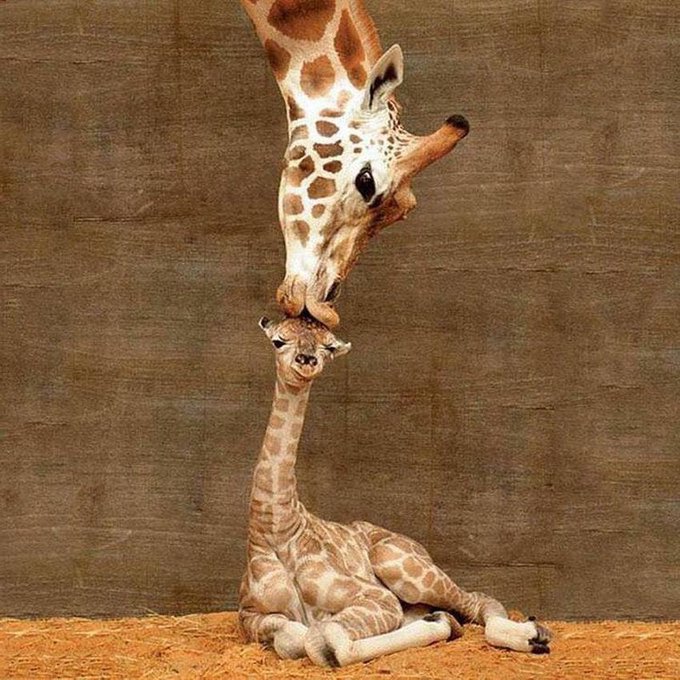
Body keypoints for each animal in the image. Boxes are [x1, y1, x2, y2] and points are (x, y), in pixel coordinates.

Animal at [239, 315, 552, 667]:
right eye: (279, 340)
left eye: (328, 347)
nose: (307, 361)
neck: (275, 527)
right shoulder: (248, 615)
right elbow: (292, 638)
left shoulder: (377, 596)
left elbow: (322, 640)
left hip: (397, 563)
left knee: (478, 600)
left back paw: (533, 635)